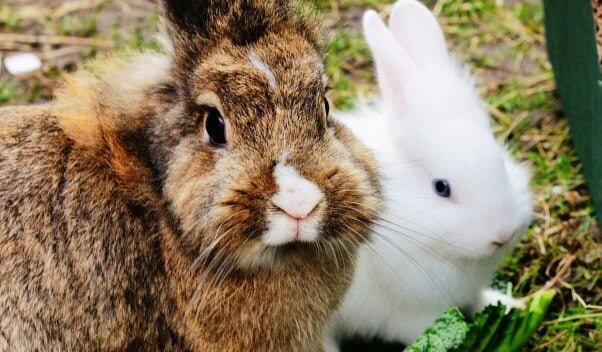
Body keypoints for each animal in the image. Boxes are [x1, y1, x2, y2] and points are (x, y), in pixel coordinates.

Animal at [324, 0, 528, 350]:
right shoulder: (411, 316)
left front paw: (514, 305)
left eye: (500, 163)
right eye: (441, 188)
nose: (502, 234)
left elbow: (478, 301)